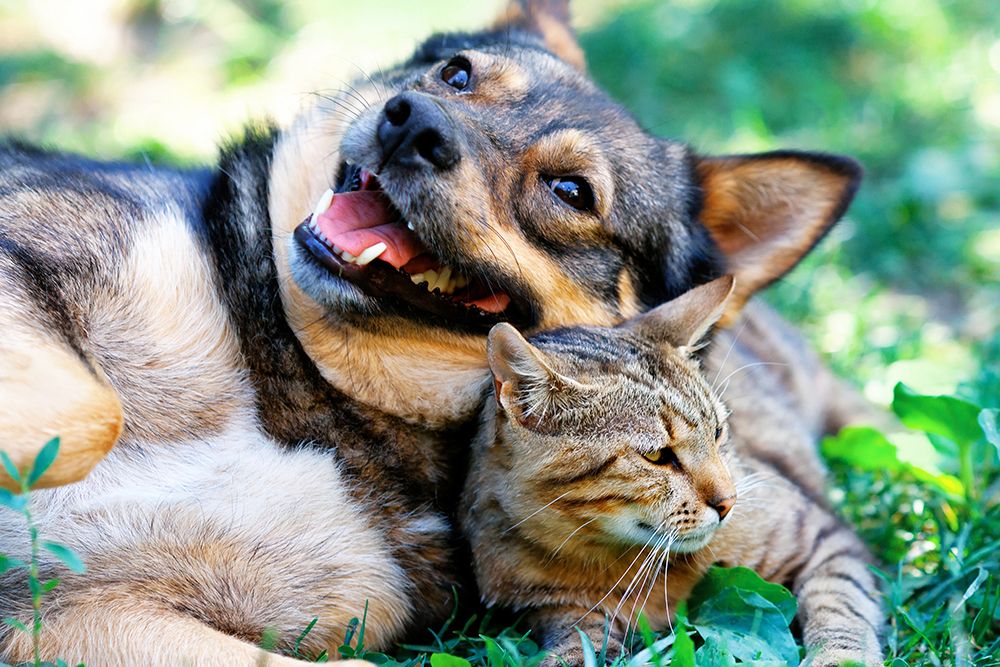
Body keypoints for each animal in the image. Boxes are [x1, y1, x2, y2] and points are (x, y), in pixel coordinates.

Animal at [460, 276, 884, 667]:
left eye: (718, 432)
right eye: (657, 456)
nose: (729, 502)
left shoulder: (824, 539)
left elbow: (839, 603)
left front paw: (840, 658)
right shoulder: (557, 610)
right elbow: (578, 646)